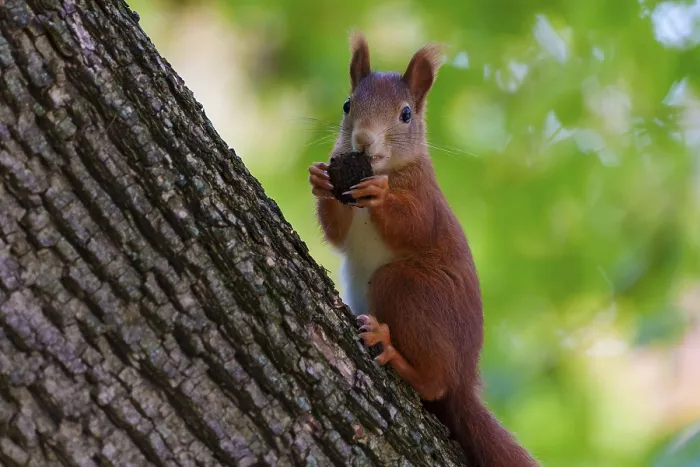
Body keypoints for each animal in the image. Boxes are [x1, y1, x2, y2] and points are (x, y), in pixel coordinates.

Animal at [308, 33, 539, 466]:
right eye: (347, 104)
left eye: (405, 115)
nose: (363, 140)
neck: (383, 170)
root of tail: (465, 377)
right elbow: (337, 234)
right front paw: (318, 179)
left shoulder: (426, 198)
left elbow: (414, 226)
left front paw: (380, 195)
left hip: (407, 287)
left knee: (435, 384)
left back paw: (392, 350)